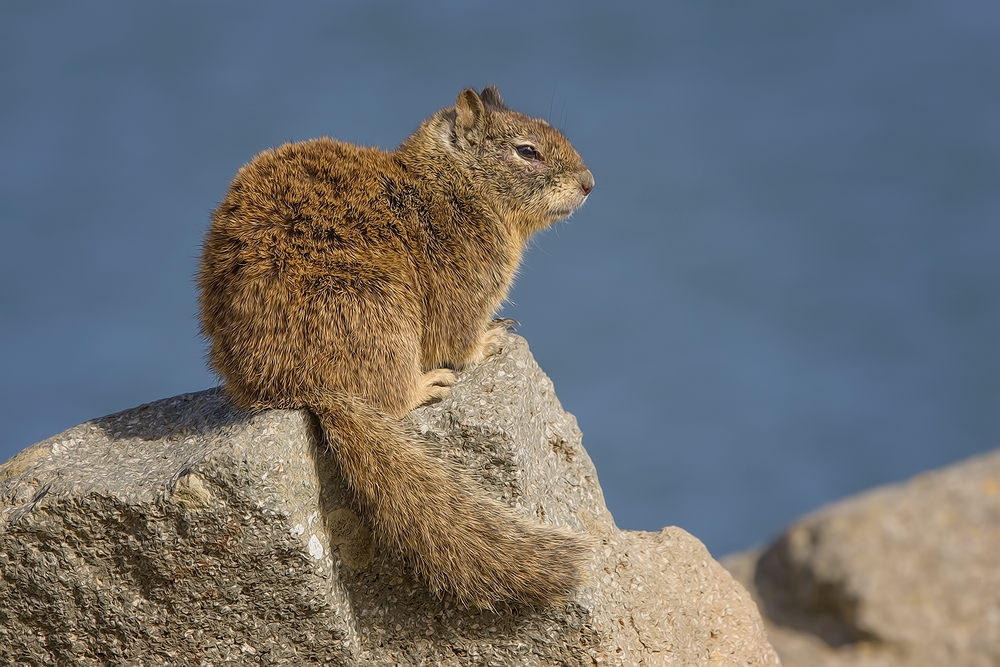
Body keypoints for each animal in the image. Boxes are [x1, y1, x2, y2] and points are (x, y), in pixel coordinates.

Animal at [199, 87, 596, 612]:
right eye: (527, 151)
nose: (590, 183)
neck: (452, 185)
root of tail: (303, 386)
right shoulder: (466, 283)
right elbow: (460, 338)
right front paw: (493, 338)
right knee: (392, 398)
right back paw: (429, 383)